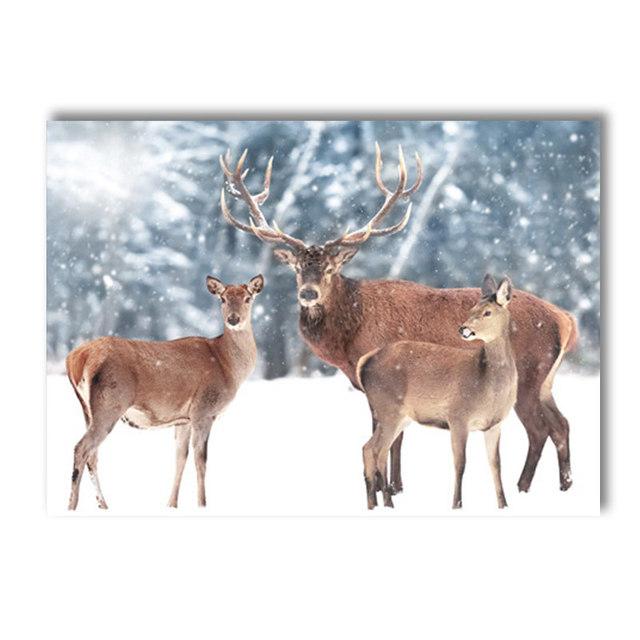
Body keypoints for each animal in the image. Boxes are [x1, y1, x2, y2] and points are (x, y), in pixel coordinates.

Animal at [65, 274, 264, 510]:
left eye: (248, 298)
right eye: (222, 299)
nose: (233, 319)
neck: (227, 366)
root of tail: (76, 359)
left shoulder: (183, 419)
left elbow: (180, 458)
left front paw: (171, 504)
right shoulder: (204, 410)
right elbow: (201, 460)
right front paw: (202, 504)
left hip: (87, 409)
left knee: (93, 455)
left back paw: (103, 505)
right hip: (110, 403)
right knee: (81, 448)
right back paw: (73, 505)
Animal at [356, 274, 517, 510]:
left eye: (487, 312)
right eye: (471, 309)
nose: (463, 329)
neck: (488, 388)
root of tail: (364, 361)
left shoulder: (495, 424)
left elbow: (496, 464)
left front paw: (504, 505)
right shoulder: (458, 416)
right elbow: (460, 463)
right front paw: (457, 505)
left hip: (399, 416)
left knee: (370, 449)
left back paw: (376, 504)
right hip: (388, 408)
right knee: (376, 450)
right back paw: (385, 504)